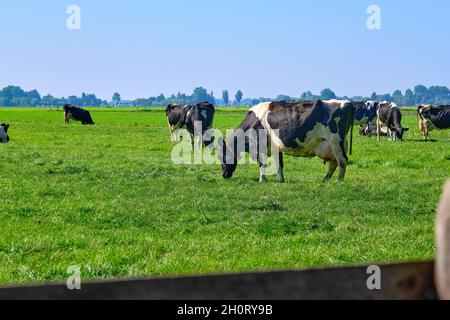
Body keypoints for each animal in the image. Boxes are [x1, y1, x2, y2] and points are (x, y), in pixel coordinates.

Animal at [220, 101, 356, 184]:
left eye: (222, 158)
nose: (224, 176)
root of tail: (347, 103)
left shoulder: (260, 144)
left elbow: (262, 163)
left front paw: (261, 180)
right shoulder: (276, 146)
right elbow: (279, 164)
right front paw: (281, 180)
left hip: (336, 141)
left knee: (342, 161)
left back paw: (339, 181)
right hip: (333, 144)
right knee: (334, 163)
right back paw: (325, 180)